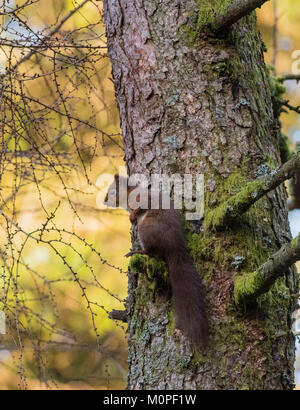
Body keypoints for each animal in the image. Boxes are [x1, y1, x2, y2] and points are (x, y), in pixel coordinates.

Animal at [103, 175, 209, 348]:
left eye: (112, 191)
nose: (104, 200)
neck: (129, 194)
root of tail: (175, 246)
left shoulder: (142, 198)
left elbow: (142, 206)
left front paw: (132, 216)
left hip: (146, 229)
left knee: (153, 251)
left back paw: (137, 251)